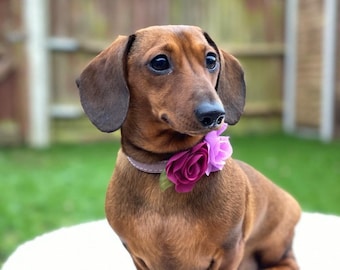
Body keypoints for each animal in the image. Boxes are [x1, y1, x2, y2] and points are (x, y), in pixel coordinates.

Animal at [76, 24, 300, 268]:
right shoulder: (137, 256)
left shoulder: (230, 251)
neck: (163, 166)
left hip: (275, 246)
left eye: (211, 59)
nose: (215, 114)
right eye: (160, 62)